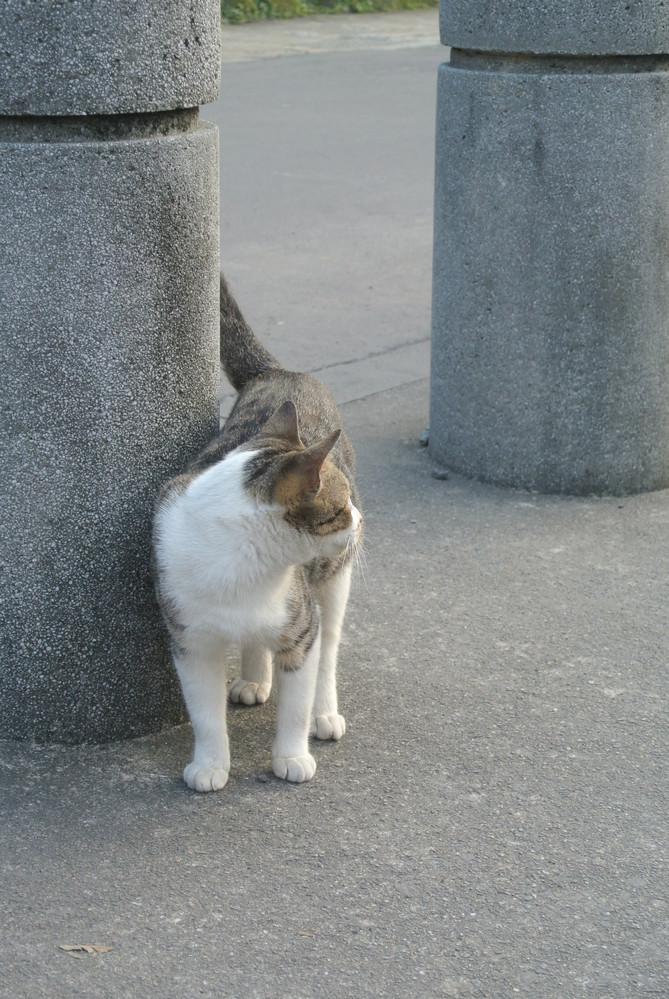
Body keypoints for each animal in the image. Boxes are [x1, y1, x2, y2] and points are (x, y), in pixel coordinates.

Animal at [152, 274, 362, 791]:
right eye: (341, 506)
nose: (360, 519)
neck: (247, 565)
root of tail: (282, 373)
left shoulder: (303, 628)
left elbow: (297, 700)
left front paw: (292, 755)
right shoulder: (190, 641)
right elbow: (205, 713)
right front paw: (210, 764)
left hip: (333, 582)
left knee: (330, 650)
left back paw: (325, 713)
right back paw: (254, 678)